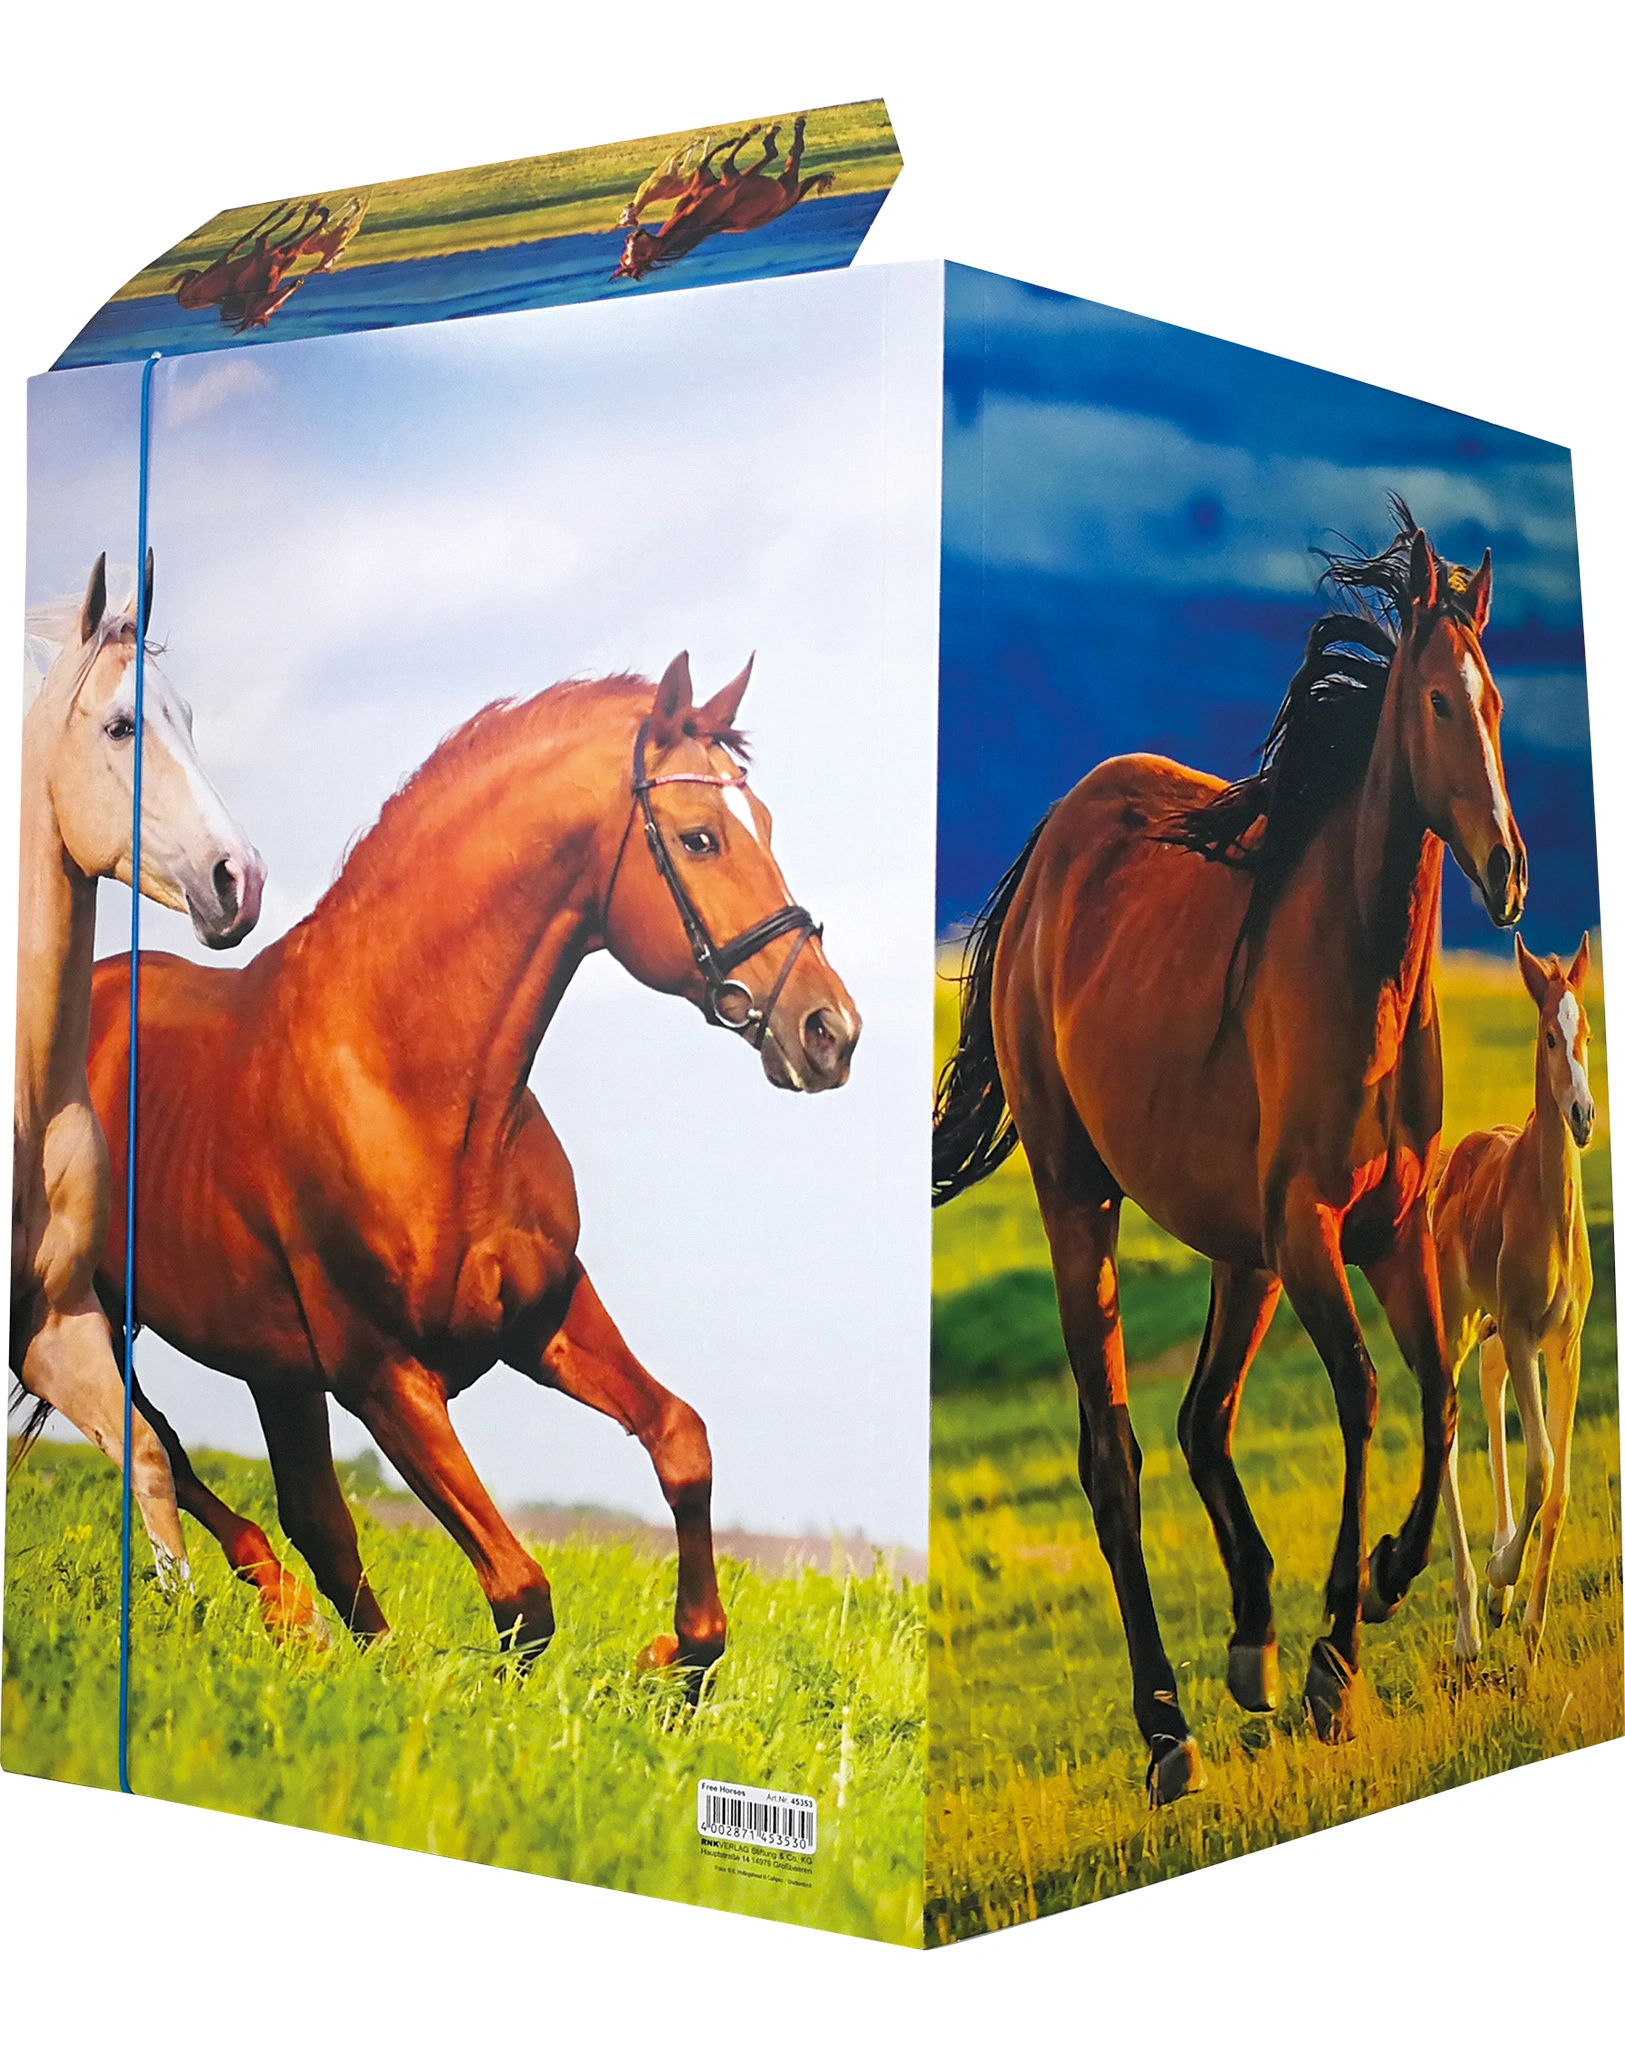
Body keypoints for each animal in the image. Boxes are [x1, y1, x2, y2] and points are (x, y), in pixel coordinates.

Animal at [86, 655, 860, 1679]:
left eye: (762, 824)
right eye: (700, 838)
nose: (829, 1030)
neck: (413, 1083)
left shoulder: (543, 1317)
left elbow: (679, 1441)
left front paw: (675, 1660)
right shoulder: (383, 1375)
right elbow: (520, 1591)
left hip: (271, 1370)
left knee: (307, 1514)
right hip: (95, 1317)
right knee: (159, 1446)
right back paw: (293, 1618)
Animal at [932, 502, 1525, 1803]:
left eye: (1497, 701)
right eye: (1435, 702)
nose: (1509, 869)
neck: (1356, 968)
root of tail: (1050, 850)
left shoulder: (1389, 1231)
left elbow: (1438, 1391)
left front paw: (1384, 1578)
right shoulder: (1309, 1230)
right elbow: (1361, 1394)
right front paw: (1335, 1662)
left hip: (1235, 1251)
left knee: (1203, 1418)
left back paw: (1246, 1640)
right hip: (1086, 1205)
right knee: (1116, 1455)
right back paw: (1167, 1729)